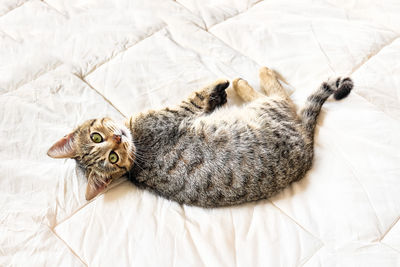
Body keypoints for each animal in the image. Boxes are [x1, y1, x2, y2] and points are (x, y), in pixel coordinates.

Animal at [47, 67, 354, 207]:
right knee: (279, 97)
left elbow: (205, 100)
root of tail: (306, 147)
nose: (119, 139)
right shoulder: (173, 114)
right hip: (266, 112)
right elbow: (195, 97)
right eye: (112, 157)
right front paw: (219, 87)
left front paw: (218, 96)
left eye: (97, 137)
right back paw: (253, 78)